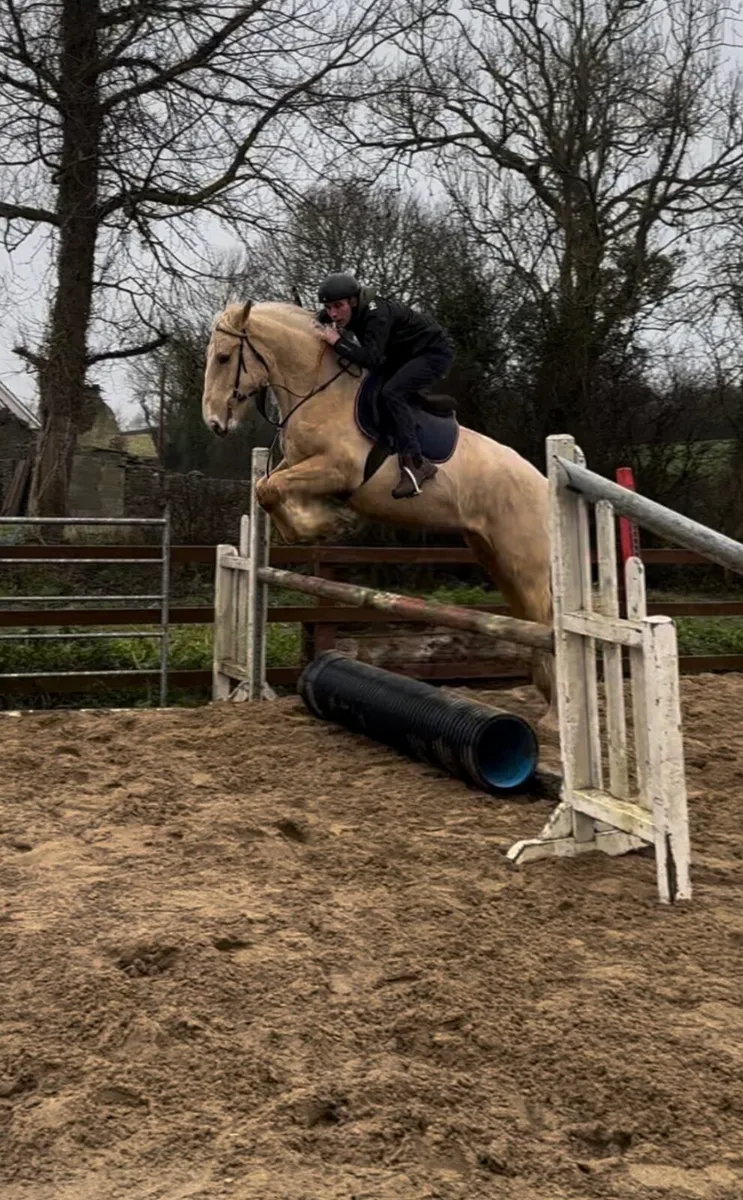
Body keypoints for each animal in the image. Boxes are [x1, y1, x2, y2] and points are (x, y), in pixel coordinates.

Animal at [202, 300, 554, 713]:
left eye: (224, 358)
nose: (214, 422)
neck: (317, 389)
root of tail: (545, 482)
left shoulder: (337, 469)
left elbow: (272, 489)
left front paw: (333, 523)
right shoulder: (299, 464)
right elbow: (264, 488)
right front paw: (320, 524)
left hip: (524, 563)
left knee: (547, 618)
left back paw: (555, 710)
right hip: (496, 558)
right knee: (532, 620)